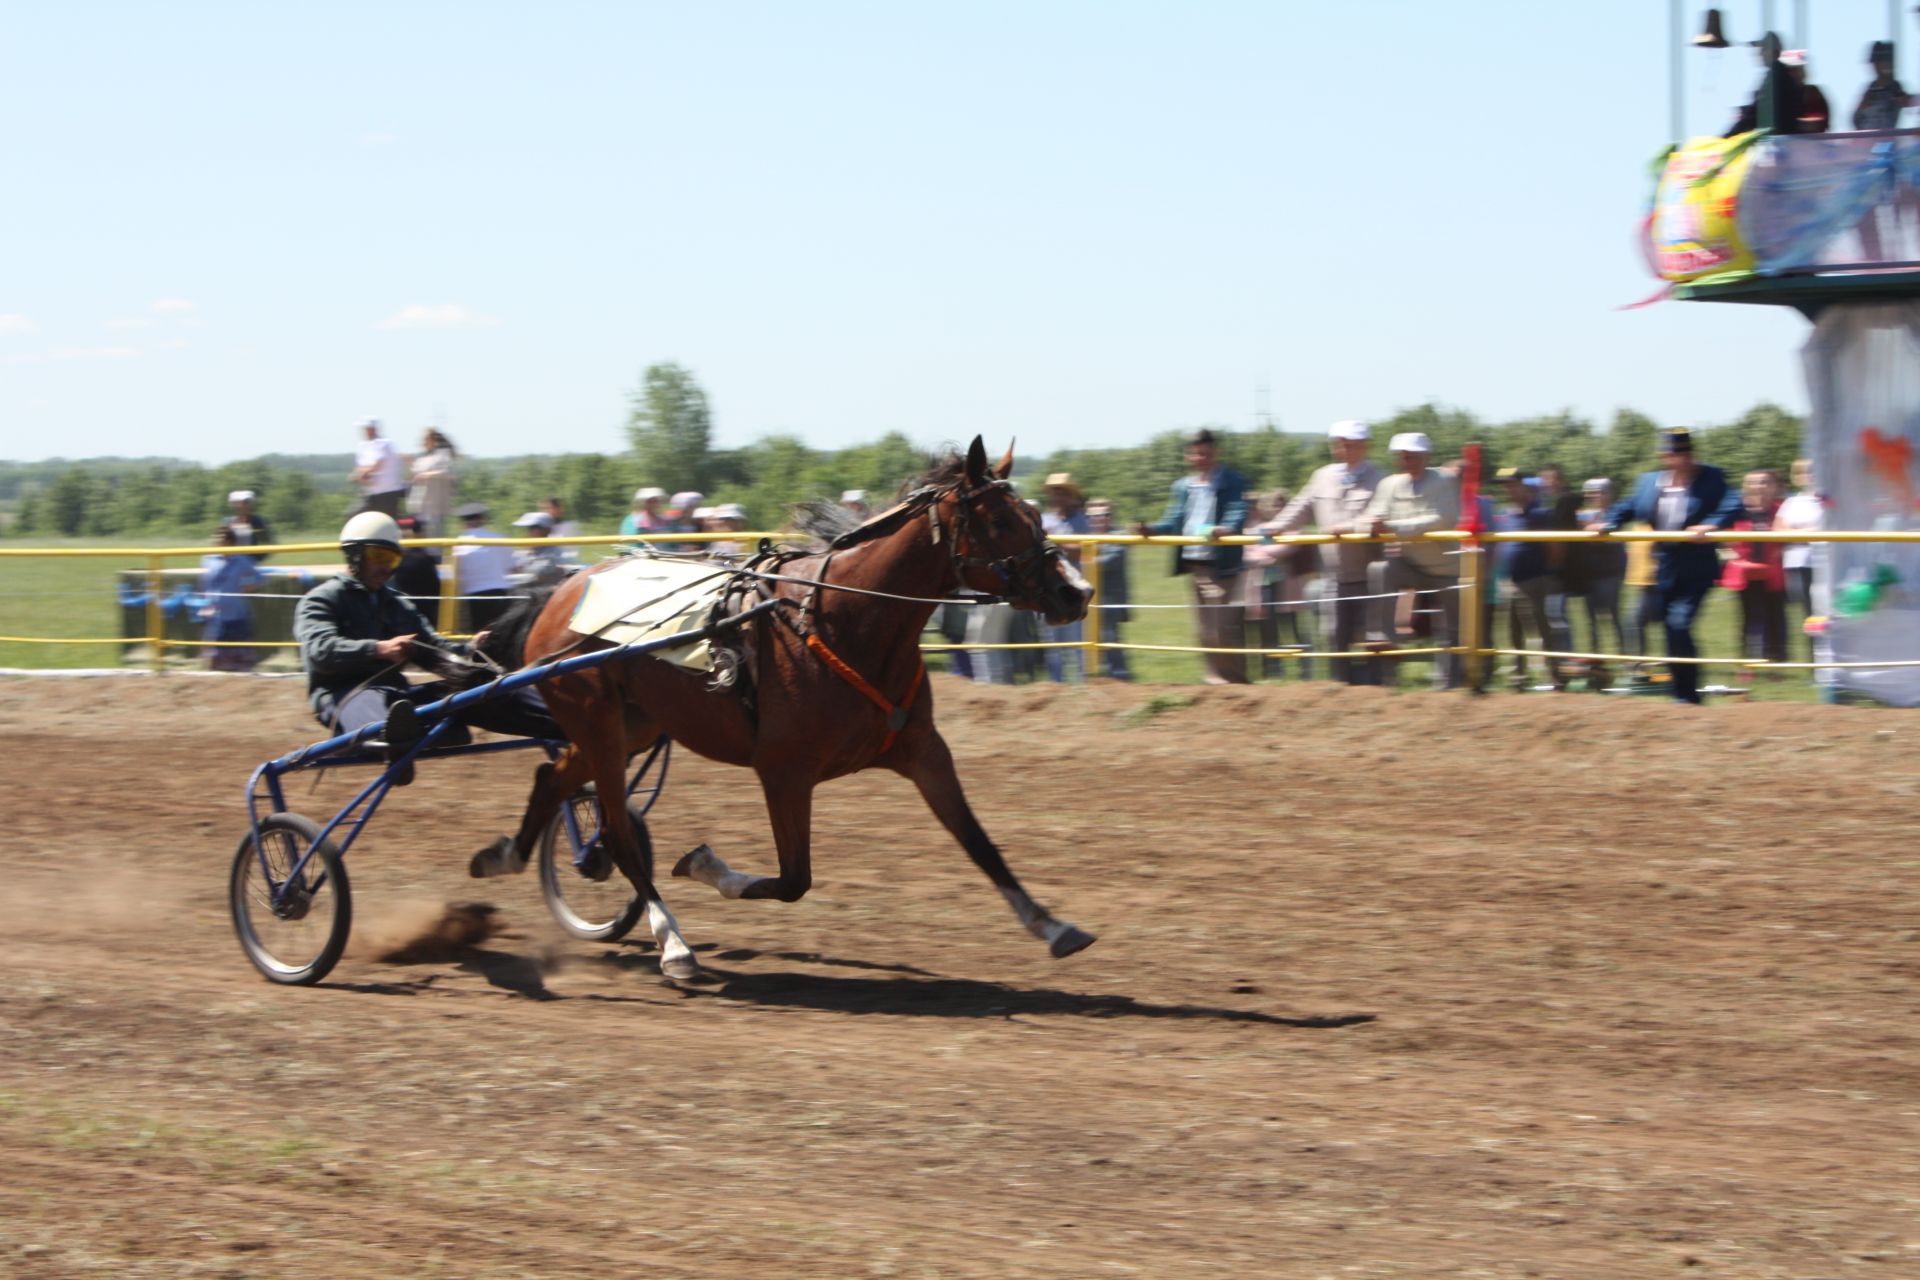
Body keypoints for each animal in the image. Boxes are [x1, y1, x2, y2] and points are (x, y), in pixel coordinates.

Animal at [468, 441, 1098, 982]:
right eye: (1000, 521)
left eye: (1036, 514)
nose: (1078, 592)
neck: (843, 618)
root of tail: (558, 589)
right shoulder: (784, 771)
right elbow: (795, 879)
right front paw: (703, 865)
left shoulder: (923, 750)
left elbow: (980, 843)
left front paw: (1053, 925)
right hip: (599, 725)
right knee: (619, 834)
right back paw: (673, 943)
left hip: (630, 728)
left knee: (553, 779)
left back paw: (503, 856)